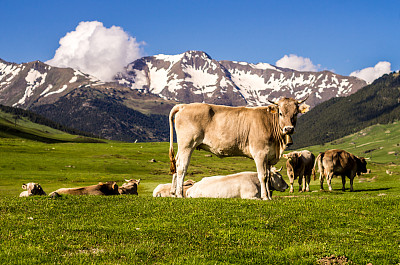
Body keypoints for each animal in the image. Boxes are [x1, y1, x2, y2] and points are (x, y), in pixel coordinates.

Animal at [168, 96, 310, 199]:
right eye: (280, 113)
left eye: (295, 113)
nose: (289, 129)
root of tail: (184, 105)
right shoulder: (260, 153)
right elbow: (263, 176)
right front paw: (265, 197)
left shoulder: (269, 156)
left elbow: (269, 176)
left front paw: (269, 197)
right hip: (187, 144)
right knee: (181, 167)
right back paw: (179, 194)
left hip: (183, 147)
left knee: (176, 163)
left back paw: (173, 193)